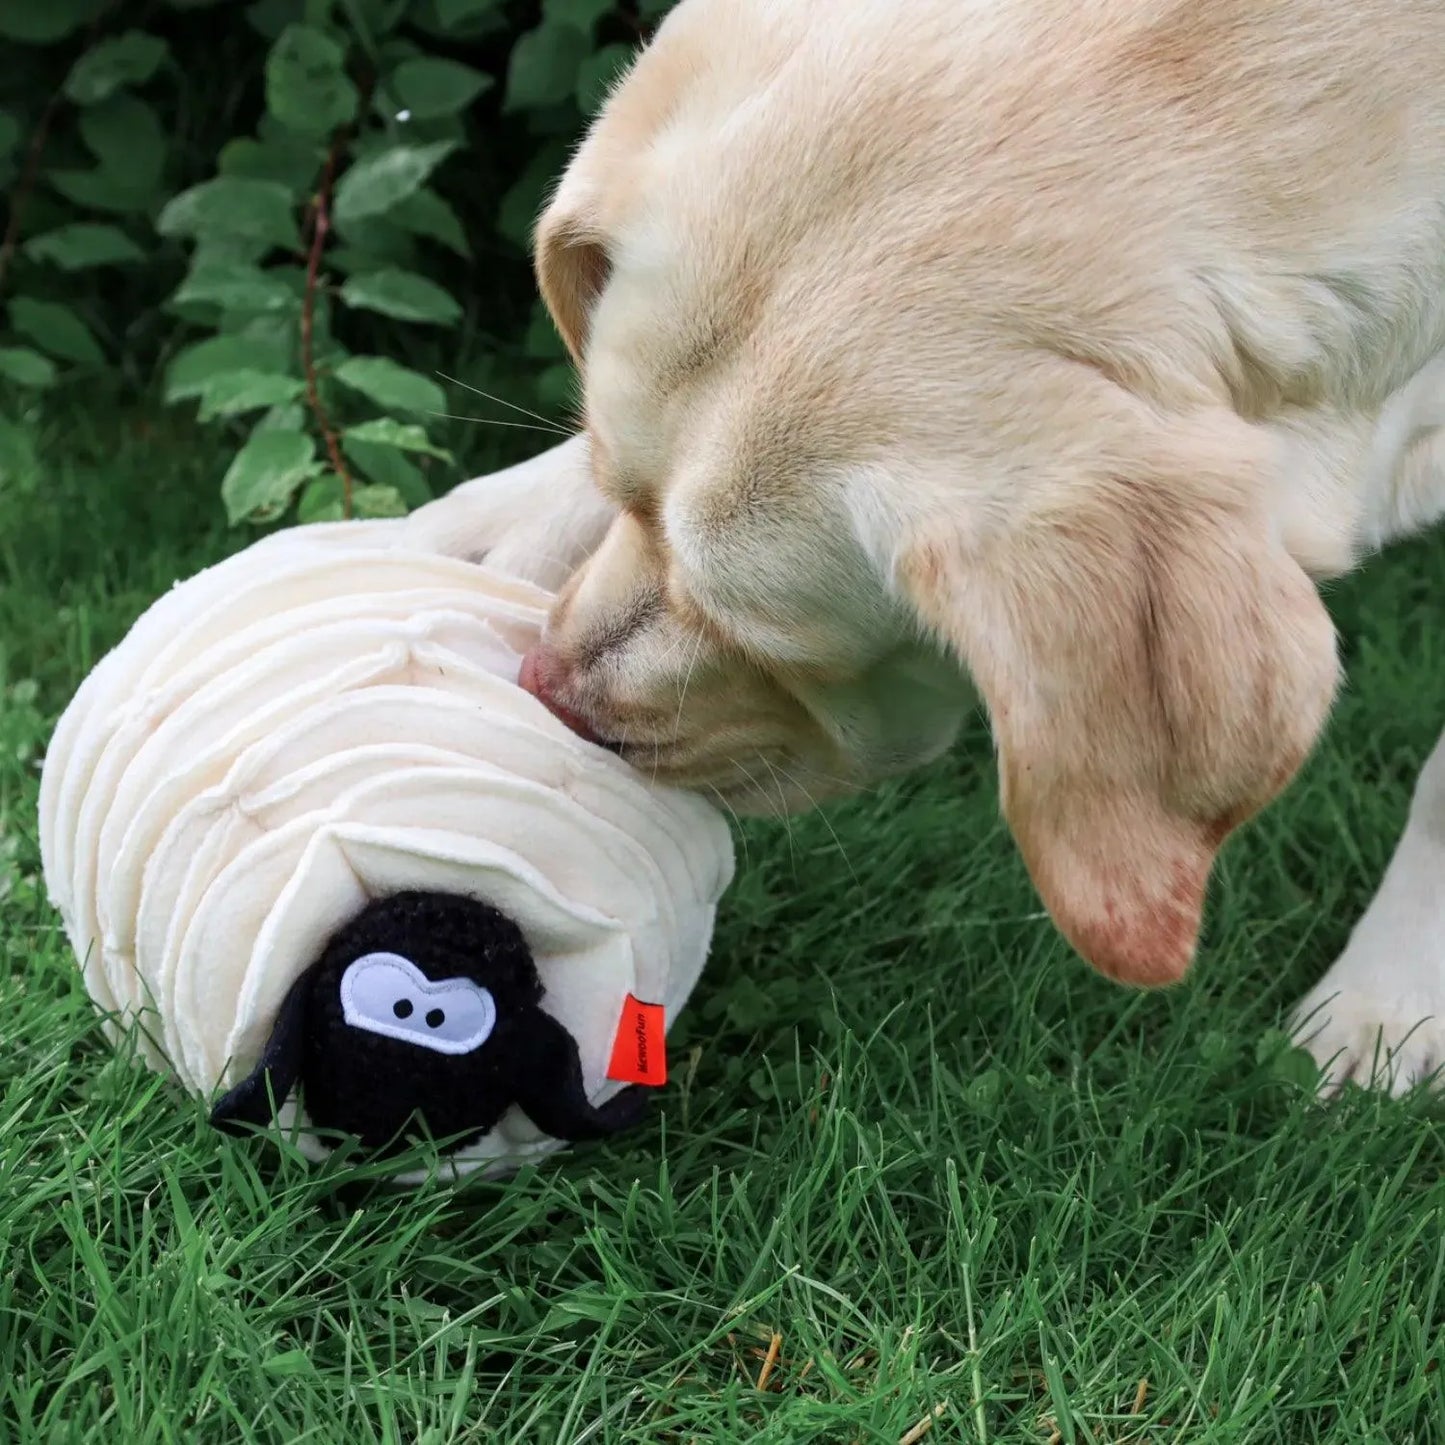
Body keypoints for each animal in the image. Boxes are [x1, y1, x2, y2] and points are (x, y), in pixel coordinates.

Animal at [404, 0, 1445, 1086]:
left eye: (778, 651)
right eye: (622, 491)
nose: (544, 689)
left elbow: (1439, 788)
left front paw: (1388, 997)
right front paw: (505, 519)